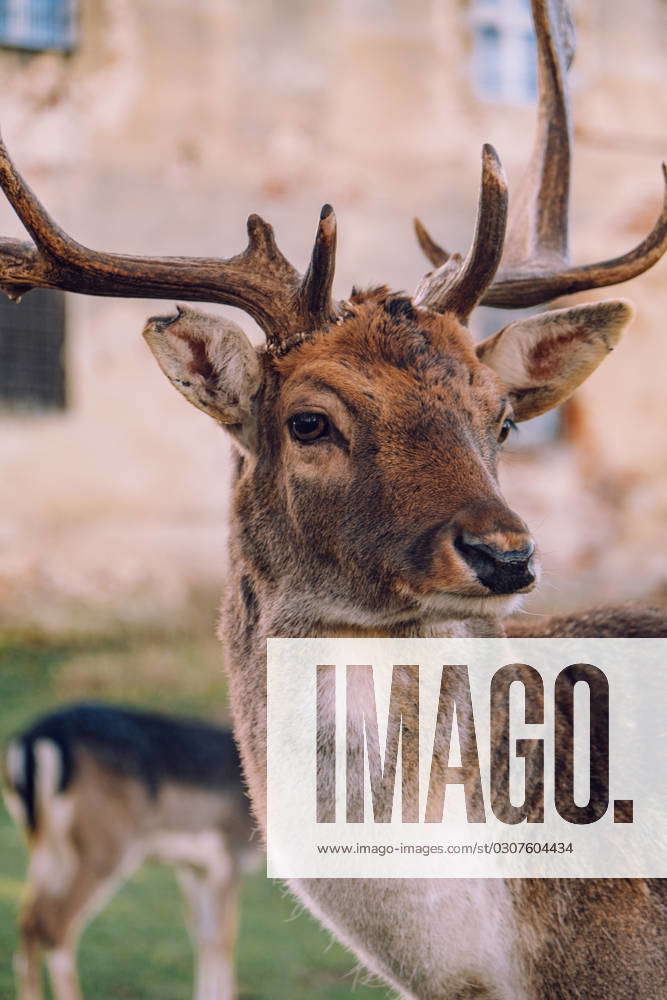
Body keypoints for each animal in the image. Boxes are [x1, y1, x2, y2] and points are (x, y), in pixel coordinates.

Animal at [1, 704, 258, 1000]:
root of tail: (34, 740)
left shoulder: (193, 867)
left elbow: (204, 936)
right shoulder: (230, 855)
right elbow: (225, 937)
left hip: (45, 846)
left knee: (29, 918)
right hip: (105, 846)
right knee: (56, 923)